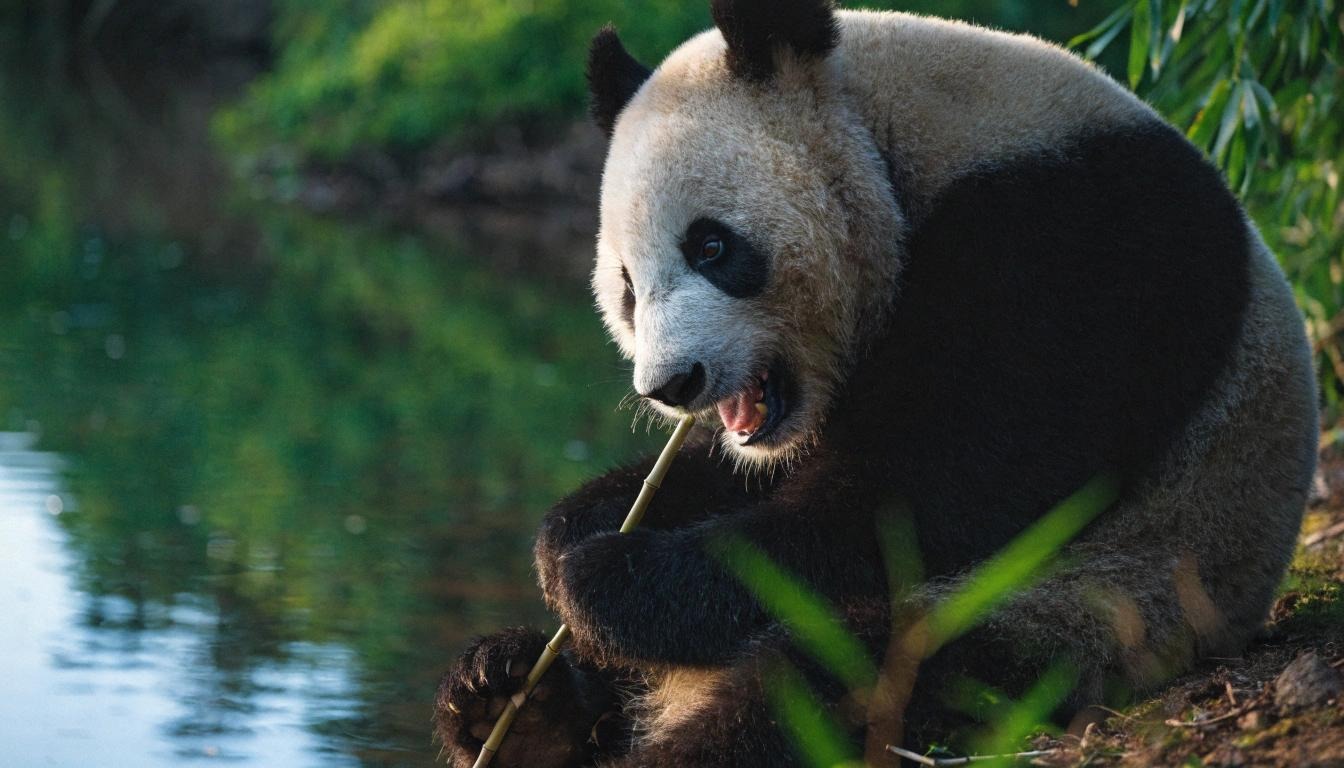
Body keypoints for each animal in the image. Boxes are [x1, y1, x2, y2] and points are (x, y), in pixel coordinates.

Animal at [435, 1, 1319, 765]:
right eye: (625, 285)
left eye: (711, 247)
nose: (672, 384)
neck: (900, 131)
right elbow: (763, 475)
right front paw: (578, 528)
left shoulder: (1075, 240)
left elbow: (922, 497)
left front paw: (607, 578)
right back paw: (509, 697)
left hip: (1090, 600)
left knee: (842, 682)